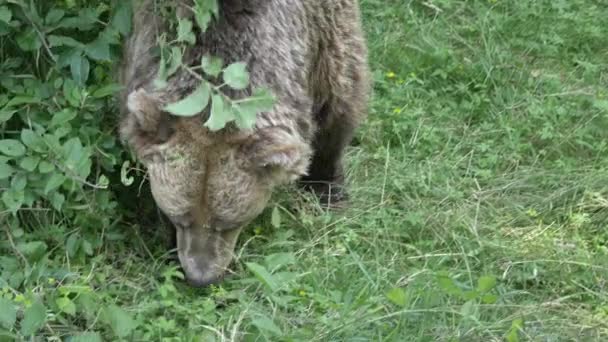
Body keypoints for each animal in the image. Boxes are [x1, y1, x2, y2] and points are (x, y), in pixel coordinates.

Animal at [117, 0, 368, 288]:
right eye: (179, 218)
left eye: (227, 223)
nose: (200, 277)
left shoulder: (325, 26)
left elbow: (339, 95)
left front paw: (328, 189)